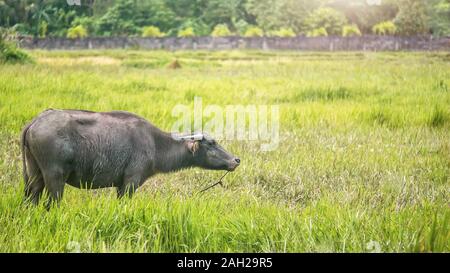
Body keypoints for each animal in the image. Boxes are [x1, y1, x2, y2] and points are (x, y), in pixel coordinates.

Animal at [22, 107, 239, 207]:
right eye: (211, 143)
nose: (236, 160)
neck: (155, 143)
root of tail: (35, 122)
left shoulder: (120, 186)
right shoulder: (130, 183)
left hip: (34, 175)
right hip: (55, 177)